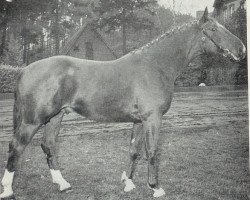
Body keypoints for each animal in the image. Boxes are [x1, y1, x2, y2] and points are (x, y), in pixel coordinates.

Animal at [0, 7, 246, 198]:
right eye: (213, 29)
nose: (241, 49)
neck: (155, 65)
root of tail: (25, 70)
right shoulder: (152, 119)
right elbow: (152, 151)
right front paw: (156, 187)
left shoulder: (139, 121)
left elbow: (134, 151)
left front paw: (128, 183)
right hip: (33, 121)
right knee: (16, 146)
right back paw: (8, 190)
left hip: (55, 117)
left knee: (48, 145)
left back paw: (63, 184)